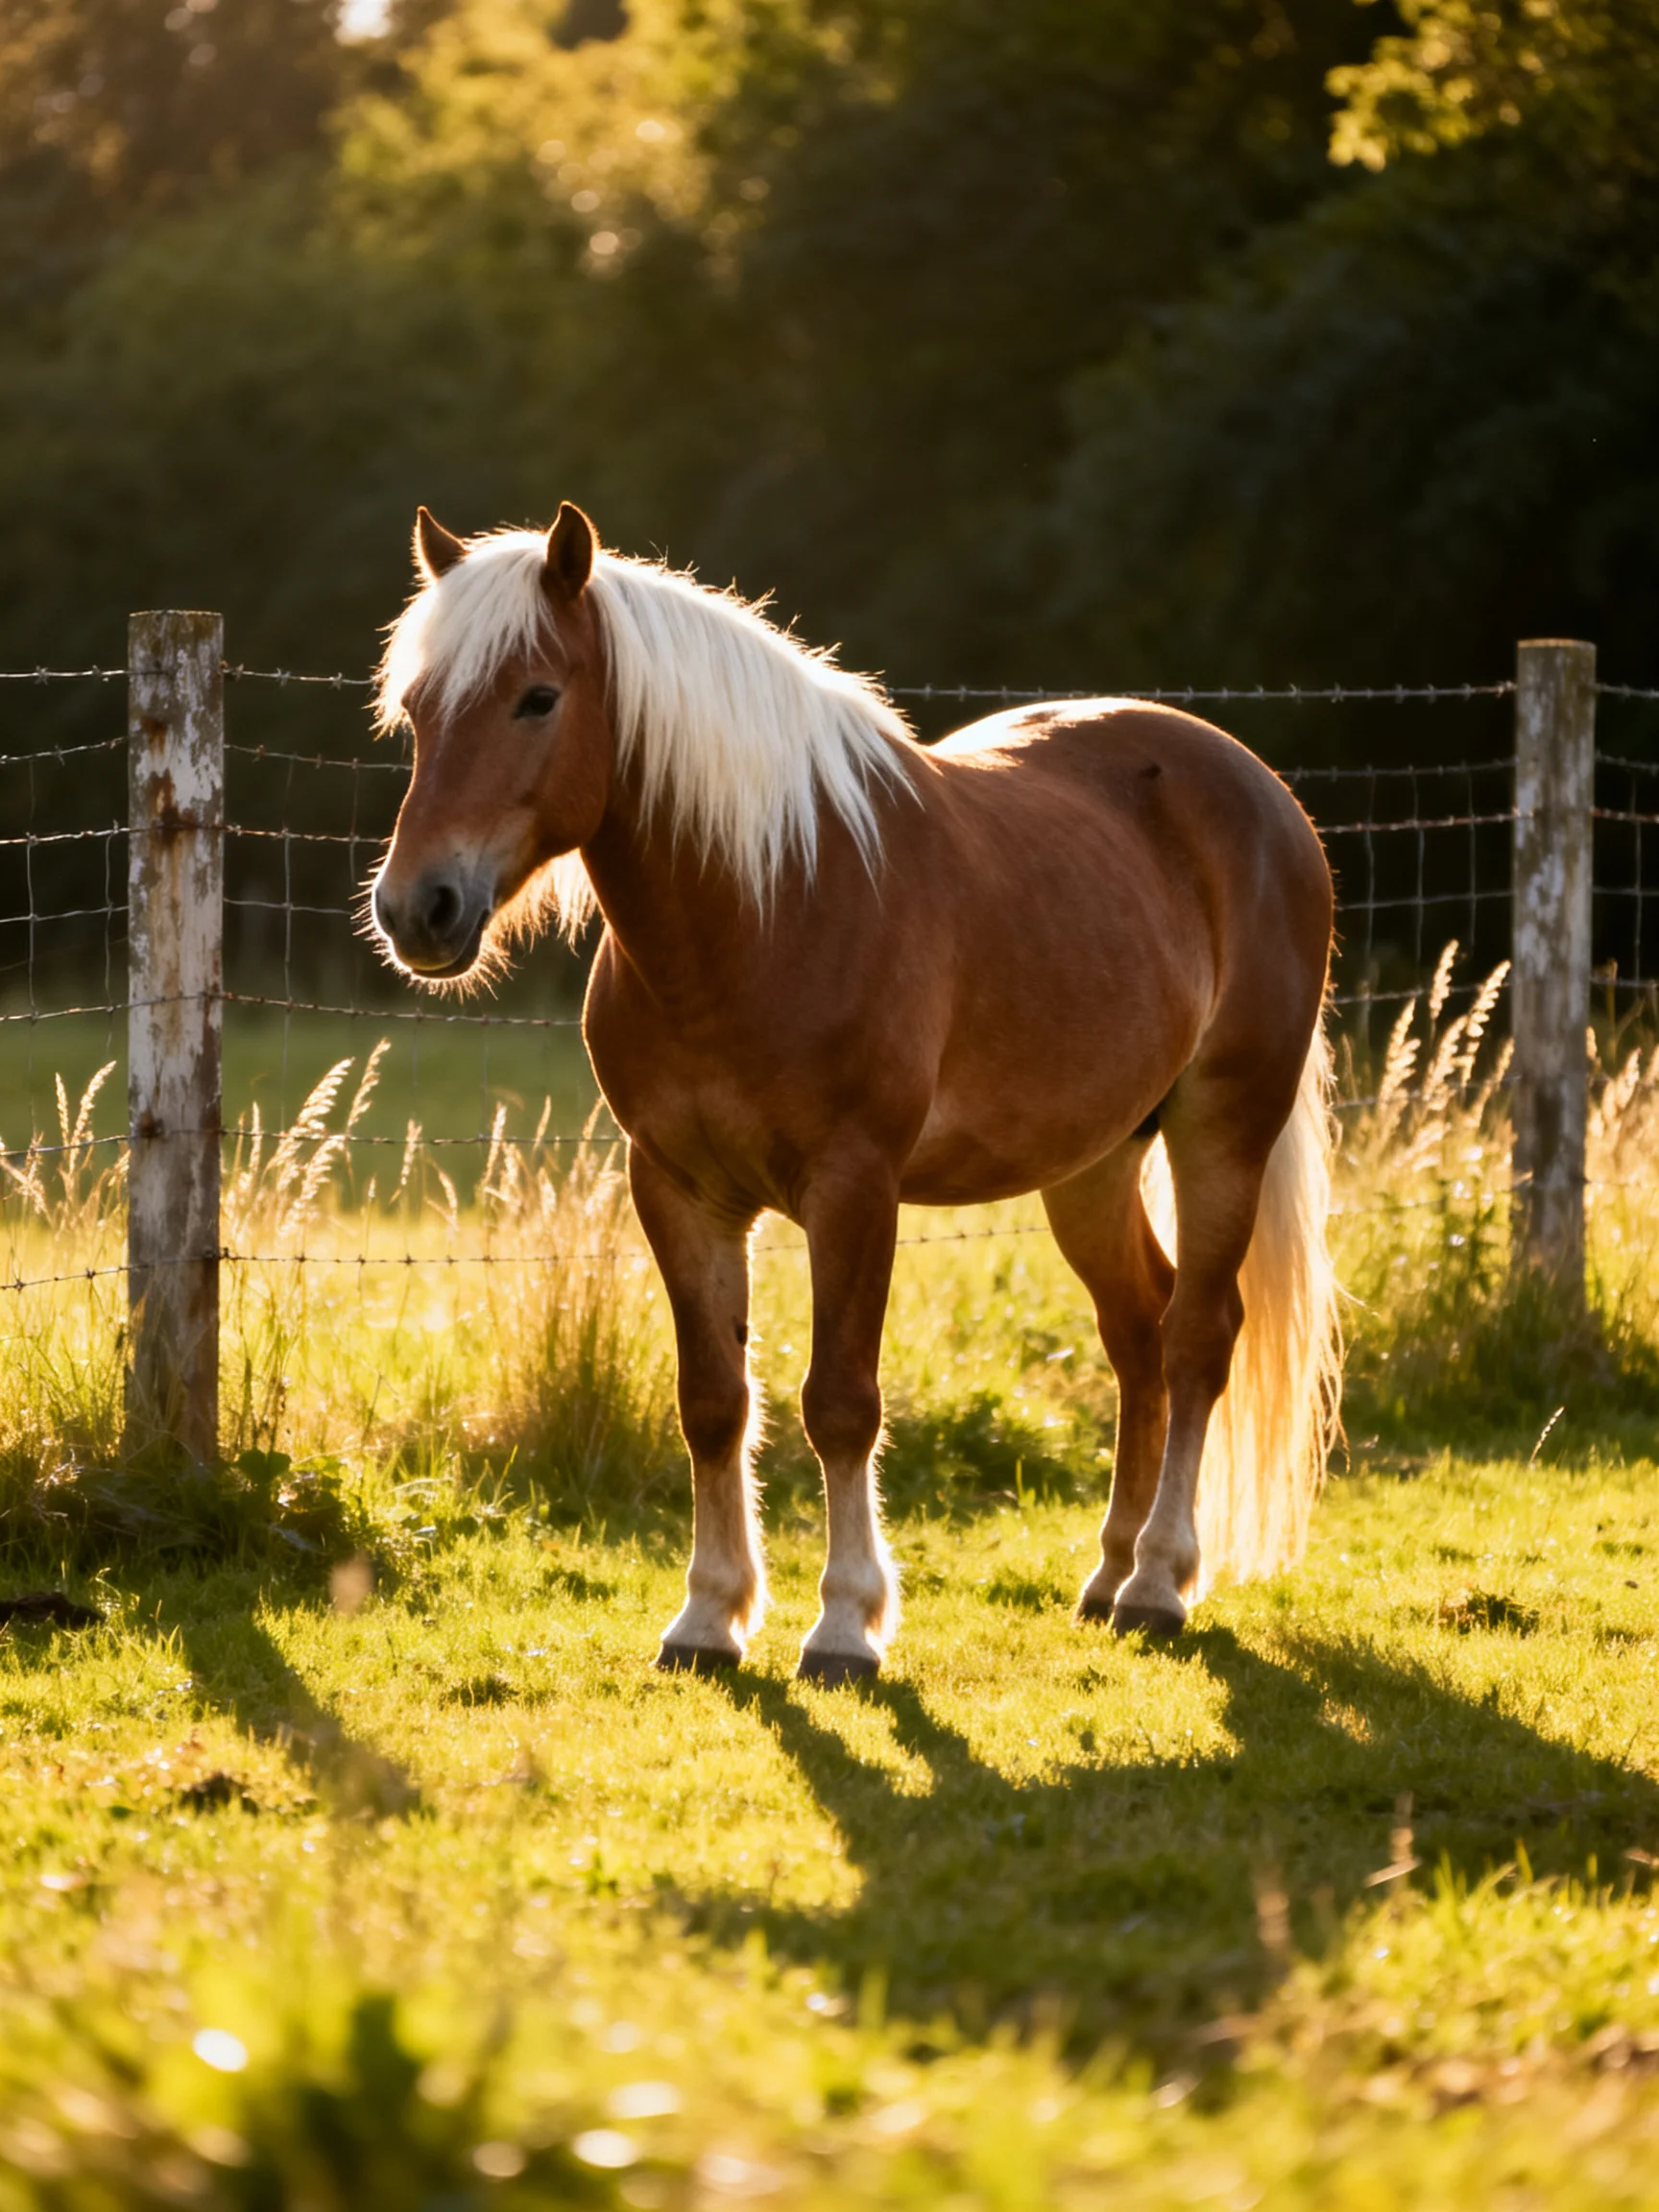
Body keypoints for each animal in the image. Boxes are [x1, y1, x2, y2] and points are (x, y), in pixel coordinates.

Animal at [371, 502, 1341, 1684]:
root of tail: (1265, 794)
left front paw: (844, 1627)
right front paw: (708, 1618)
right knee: (1138, 1329)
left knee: (1200, 1331)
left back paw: (1158, 1584)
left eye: (537, 697)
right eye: (417, 709)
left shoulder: (853, 1188)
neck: (764, 909)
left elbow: (839, 1404)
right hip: (1095, 1161)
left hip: (1223, 1126)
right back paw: (1107, 1576)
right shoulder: (679, 1189)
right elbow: (713, 1403)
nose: (418, 909)